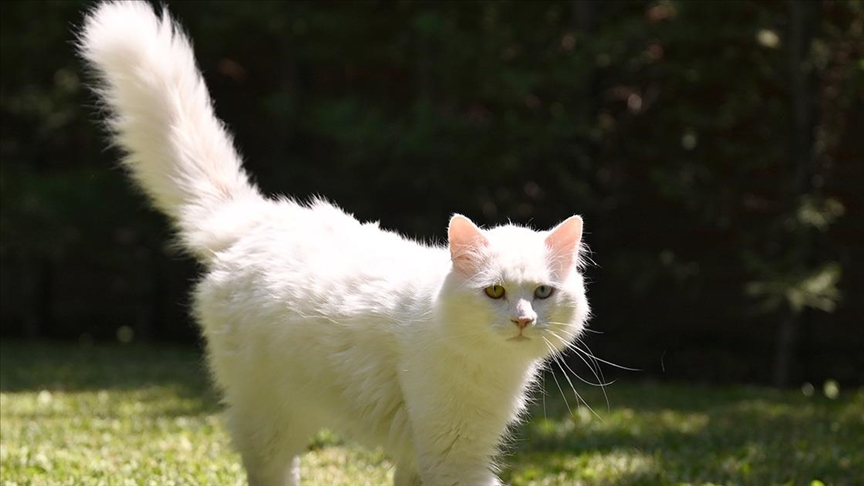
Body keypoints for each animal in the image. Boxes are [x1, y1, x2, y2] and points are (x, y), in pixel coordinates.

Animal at [79, 1, 592, 484]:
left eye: (542, 293)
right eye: (495, 292)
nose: (523, 320)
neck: (491, 366)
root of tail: (259, 217)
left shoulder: (424, 454)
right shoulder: (452, 454)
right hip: (269, 415)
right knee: (271, 469)